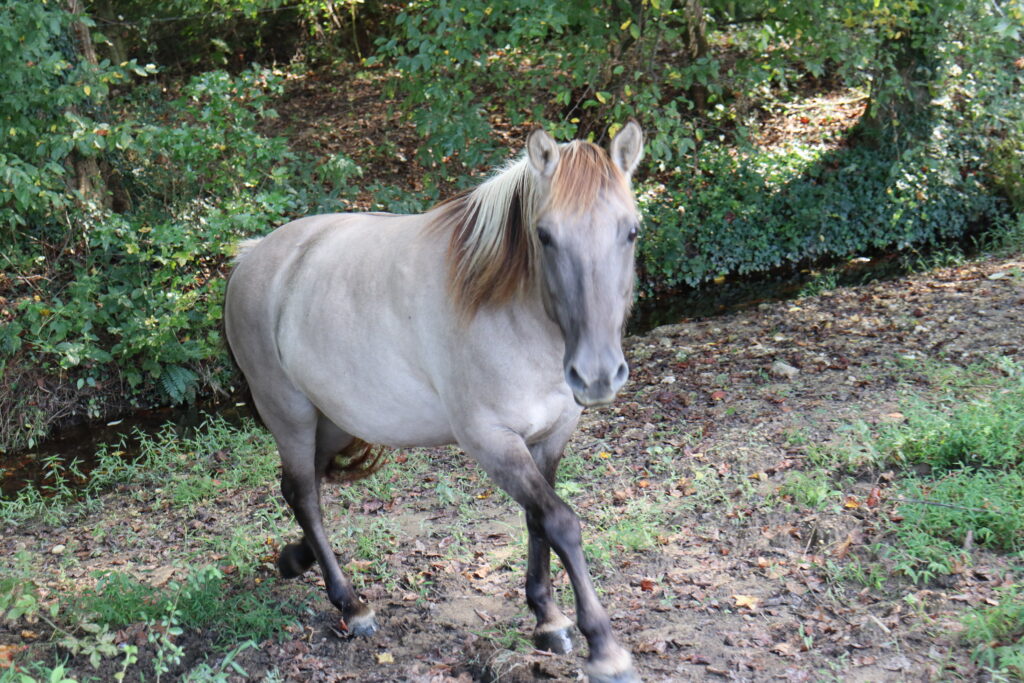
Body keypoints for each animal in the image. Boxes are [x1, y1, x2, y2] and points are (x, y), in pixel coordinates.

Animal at [223, 122, 644, 683]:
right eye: (545, 235)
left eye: (631, 231)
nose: (597, 374)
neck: (511, 312)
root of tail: (252, 257)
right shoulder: (492, 441)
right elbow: (561, 522)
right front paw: (603, 646)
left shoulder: (550, 438)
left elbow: (538, 521)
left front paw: (547, 618)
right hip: (289, 414)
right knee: (306, 496)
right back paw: (350, 604)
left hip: (331, 421)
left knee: (301, 486)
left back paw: (296, 560)